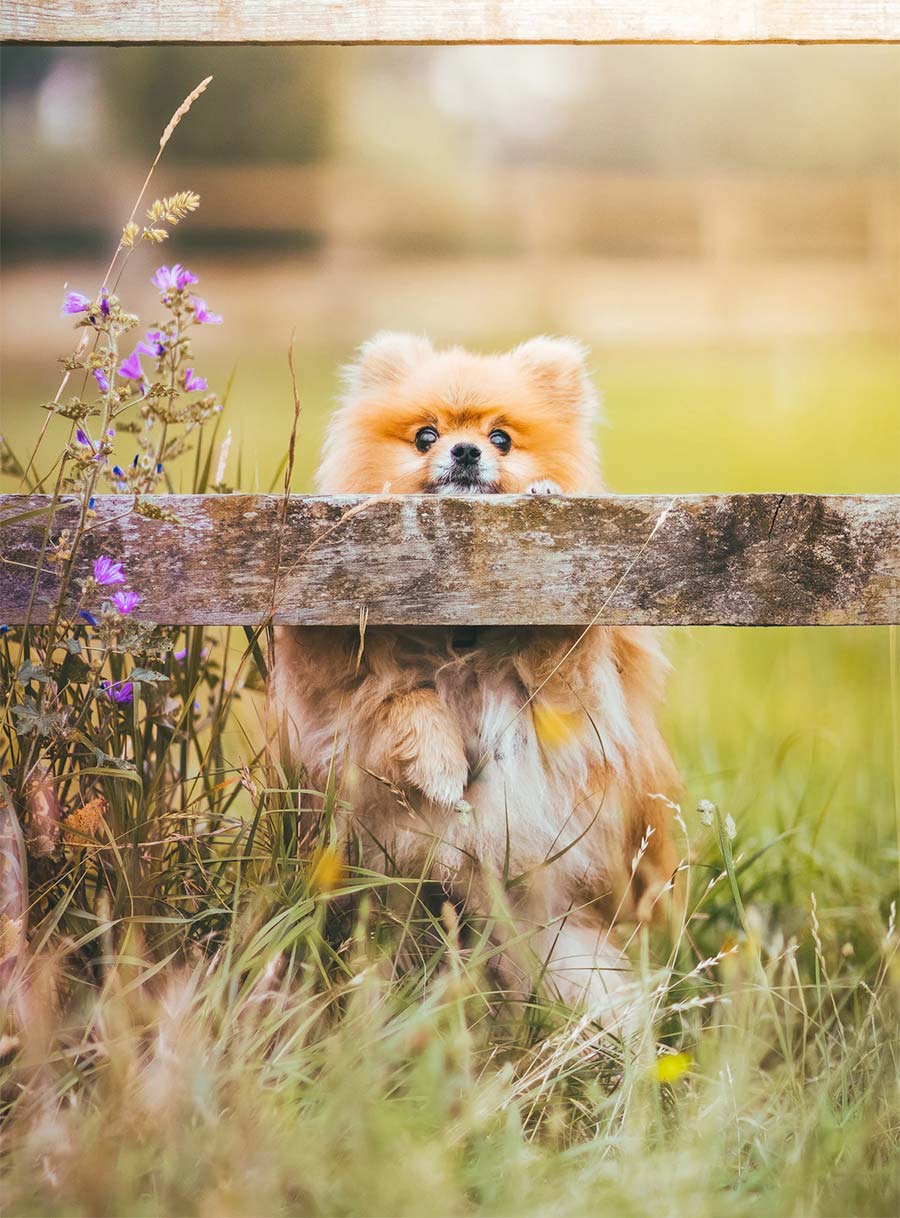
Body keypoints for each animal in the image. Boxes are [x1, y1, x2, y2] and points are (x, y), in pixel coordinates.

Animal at [271, 331, 677, 1018]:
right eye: (426, 436)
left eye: (502, 438)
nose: (464, 450)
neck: (462, 621)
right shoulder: (334, 691)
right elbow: (400, 697)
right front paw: (440, 764)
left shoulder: (578, 692)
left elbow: (558, 648)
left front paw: (545, 494)